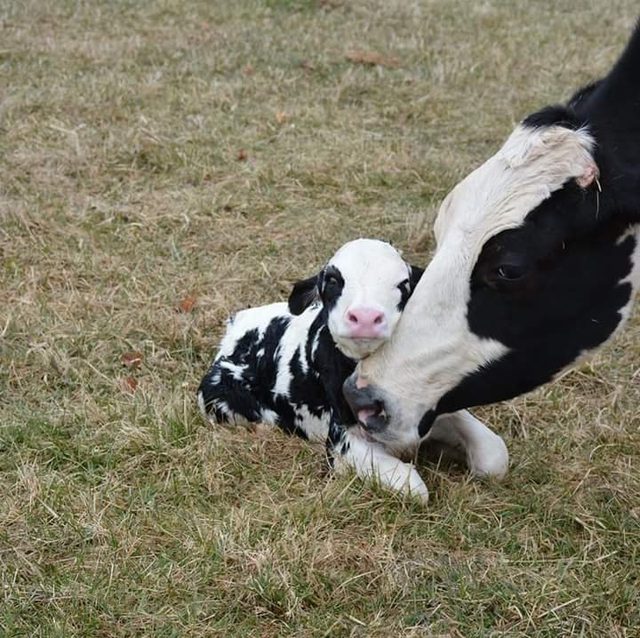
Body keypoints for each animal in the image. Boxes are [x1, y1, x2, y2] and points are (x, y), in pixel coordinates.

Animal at [198, 239, 509, 501]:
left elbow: (495, 455)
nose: (366, 317)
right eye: (333, 280)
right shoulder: (341, 441)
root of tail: (236, 324)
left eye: (404, 284)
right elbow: (413, 487)